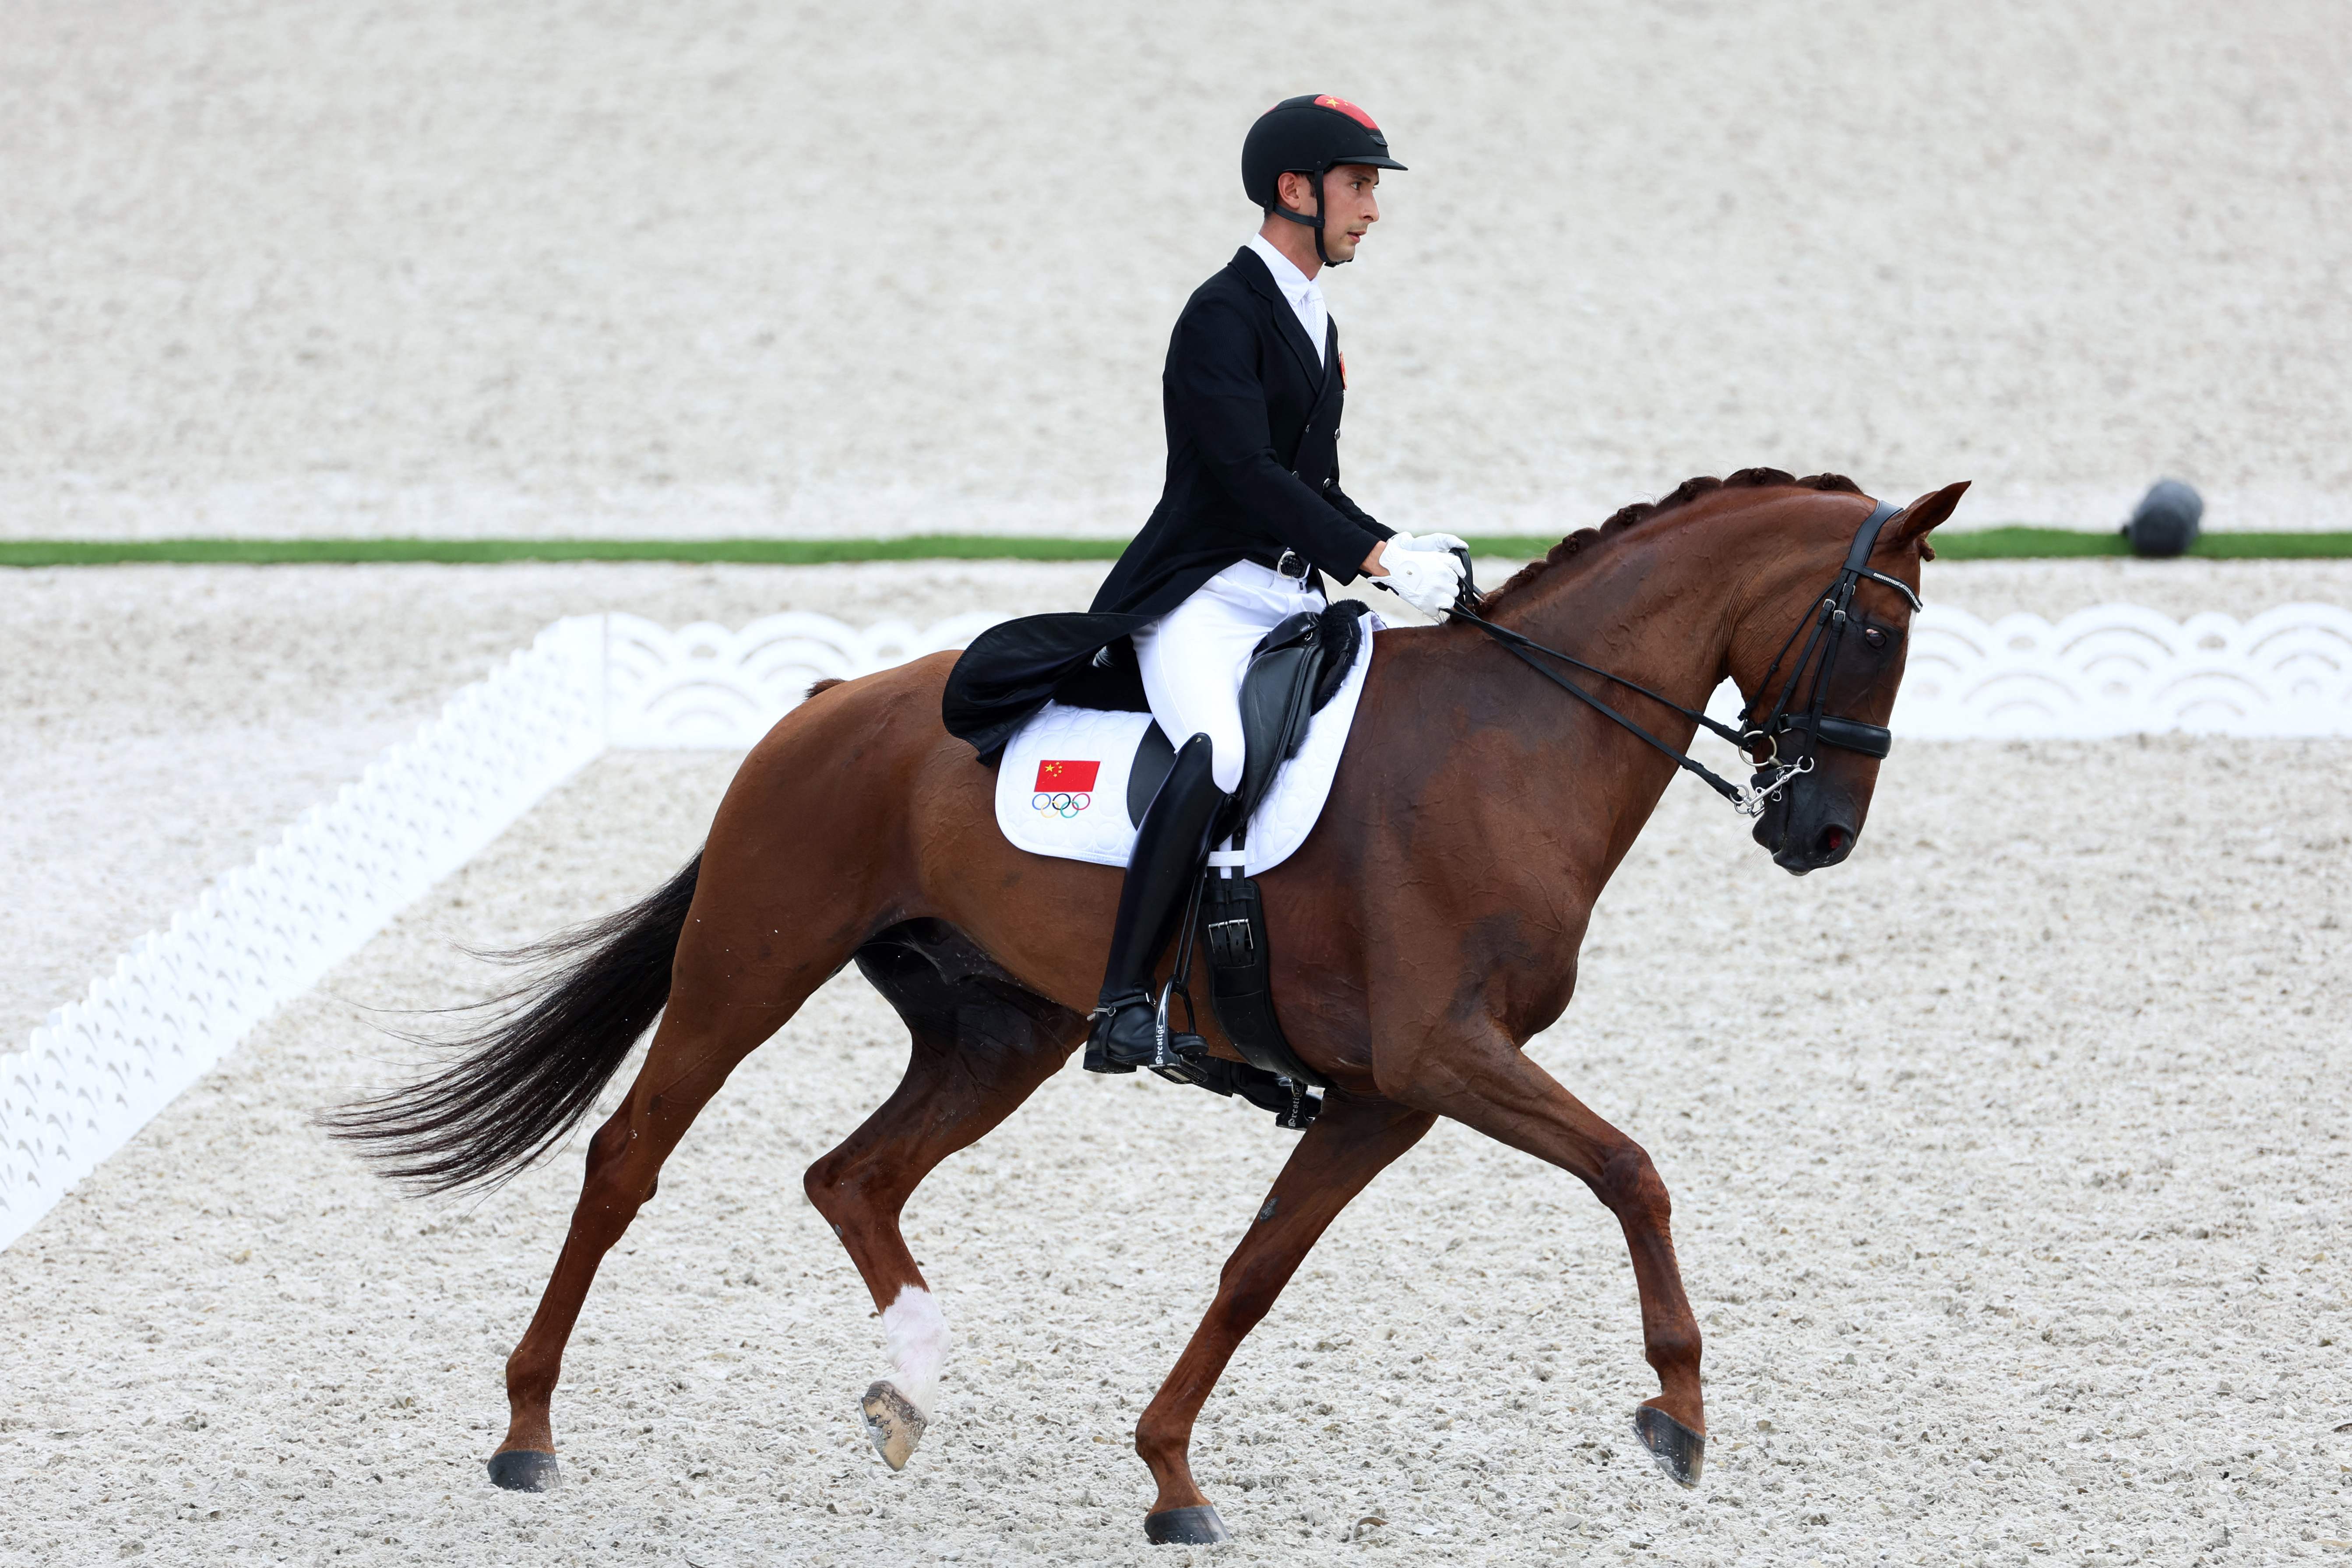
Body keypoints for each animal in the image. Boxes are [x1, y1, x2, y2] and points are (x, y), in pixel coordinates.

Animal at [336, 465, 1966, 1542]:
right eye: (1875, 630)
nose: (1818, 831)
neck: (1514, 744)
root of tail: (819, 704)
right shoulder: (1445, 1053)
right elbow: (1632, 1168)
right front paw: (1677, 1413)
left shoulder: (1387, 1095)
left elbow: (1255, 1269)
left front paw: (1170, 1473)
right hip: (750, 965)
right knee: (629, 1161)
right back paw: (527, 1435)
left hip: (1003, 1029)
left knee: (851, 1174)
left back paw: (905, 1386)